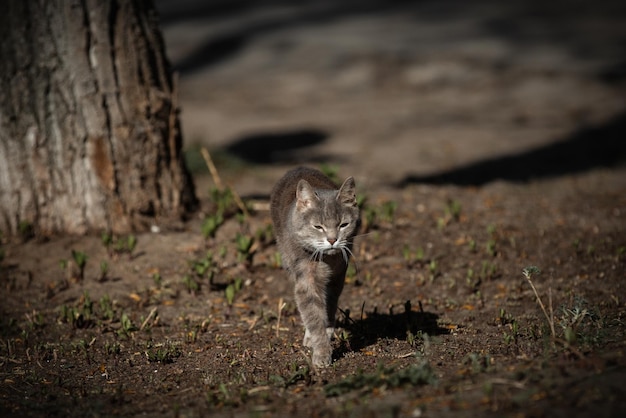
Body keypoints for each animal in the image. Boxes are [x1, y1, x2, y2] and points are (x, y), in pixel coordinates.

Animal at [270, 165, 360, 368]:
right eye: (318, 226)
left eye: (343, 224)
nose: (333, 240)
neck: (328, 260)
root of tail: (299, 167)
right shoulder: (305, 280)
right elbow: (312, 314)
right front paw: (321, 353)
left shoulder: (338, 276)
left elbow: (329, 305)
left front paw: (327, 332)